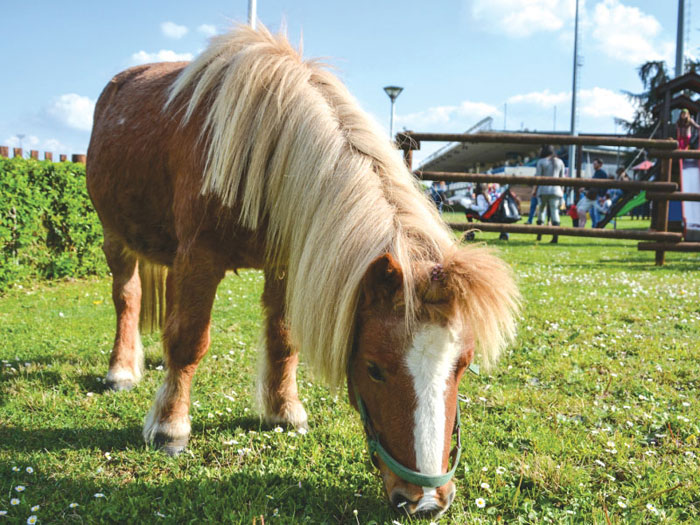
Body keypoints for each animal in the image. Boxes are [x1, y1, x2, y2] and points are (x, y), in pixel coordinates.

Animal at [86, 25, 520, 516]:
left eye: (462, 367)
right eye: (373, 368)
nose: (426, 501)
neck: (262, 143)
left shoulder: (282, 262)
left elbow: (282, 339)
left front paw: (283, 410)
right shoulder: (200, 257)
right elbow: (190, 339)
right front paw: (169, 427)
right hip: (115, 238)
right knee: (128, 298)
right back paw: (122, 370)